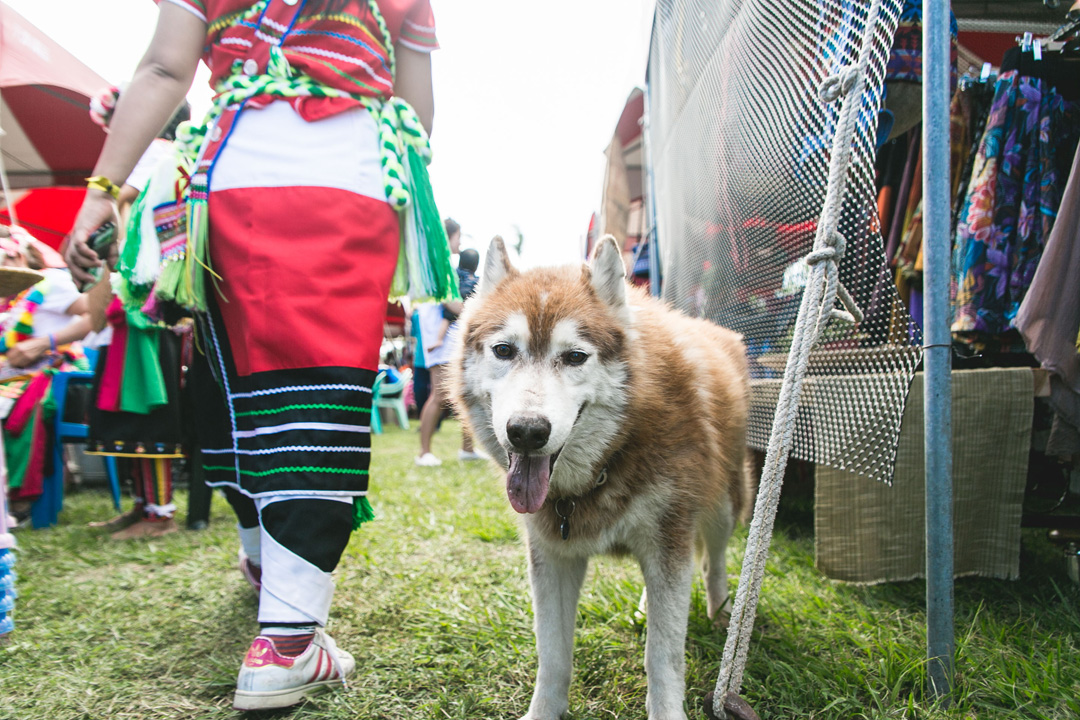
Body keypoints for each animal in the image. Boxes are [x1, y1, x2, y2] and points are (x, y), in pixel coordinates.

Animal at [447, 236, 751, 720]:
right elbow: (553, 654)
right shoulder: (551, 555)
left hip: (722, 504)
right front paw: (543, 712)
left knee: (713, 560)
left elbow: (663, 656)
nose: (527, 431)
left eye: (575, 357)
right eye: (504, 350)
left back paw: (719, 608)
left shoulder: (669, 541)